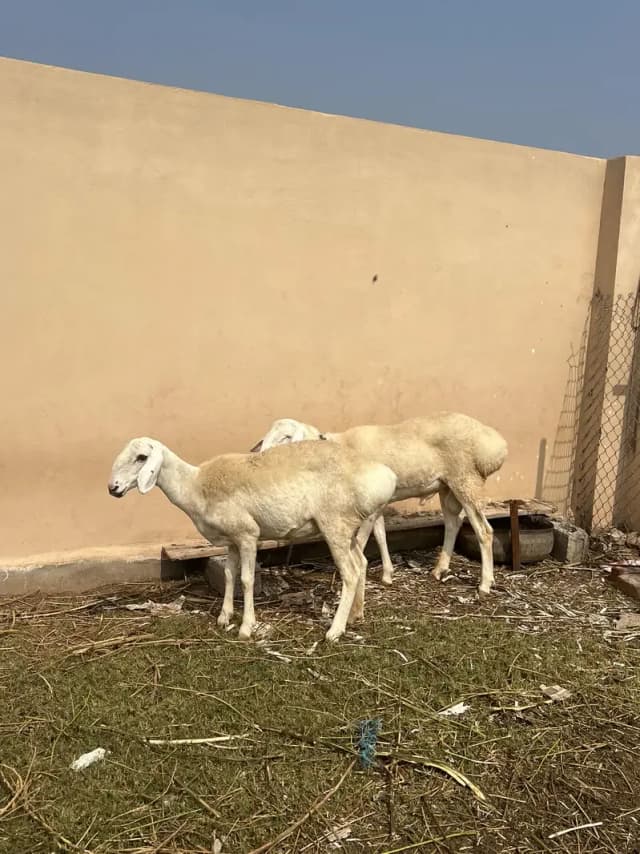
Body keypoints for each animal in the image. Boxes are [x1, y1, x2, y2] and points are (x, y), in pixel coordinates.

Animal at [108, 437, 397, 642]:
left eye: (142, 457)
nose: (113, 488)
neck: (194, 486)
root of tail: (385, 477)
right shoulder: (231, 540)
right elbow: (228, 575)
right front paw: (224, 617)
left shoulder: (247, 534)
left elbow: (246, 580)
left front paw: (246, 627)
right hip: (348, 527)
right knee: (361, 563)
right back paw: (356, 615)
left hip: (334, 523)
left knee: (350, 572)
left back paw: (335, 630)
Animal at [251, 413, 508, 596]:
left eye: (286, 437)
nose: (260, 457)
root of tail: (494, 444)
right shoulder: (374, 503)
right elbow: (381, 534)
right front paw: (387, 574)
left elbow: (362, 539)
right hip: (448, 486)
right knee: (453, 524)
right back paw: (439, 569)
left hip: (465, 480)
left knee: (484, 531)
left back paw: (485, 584)